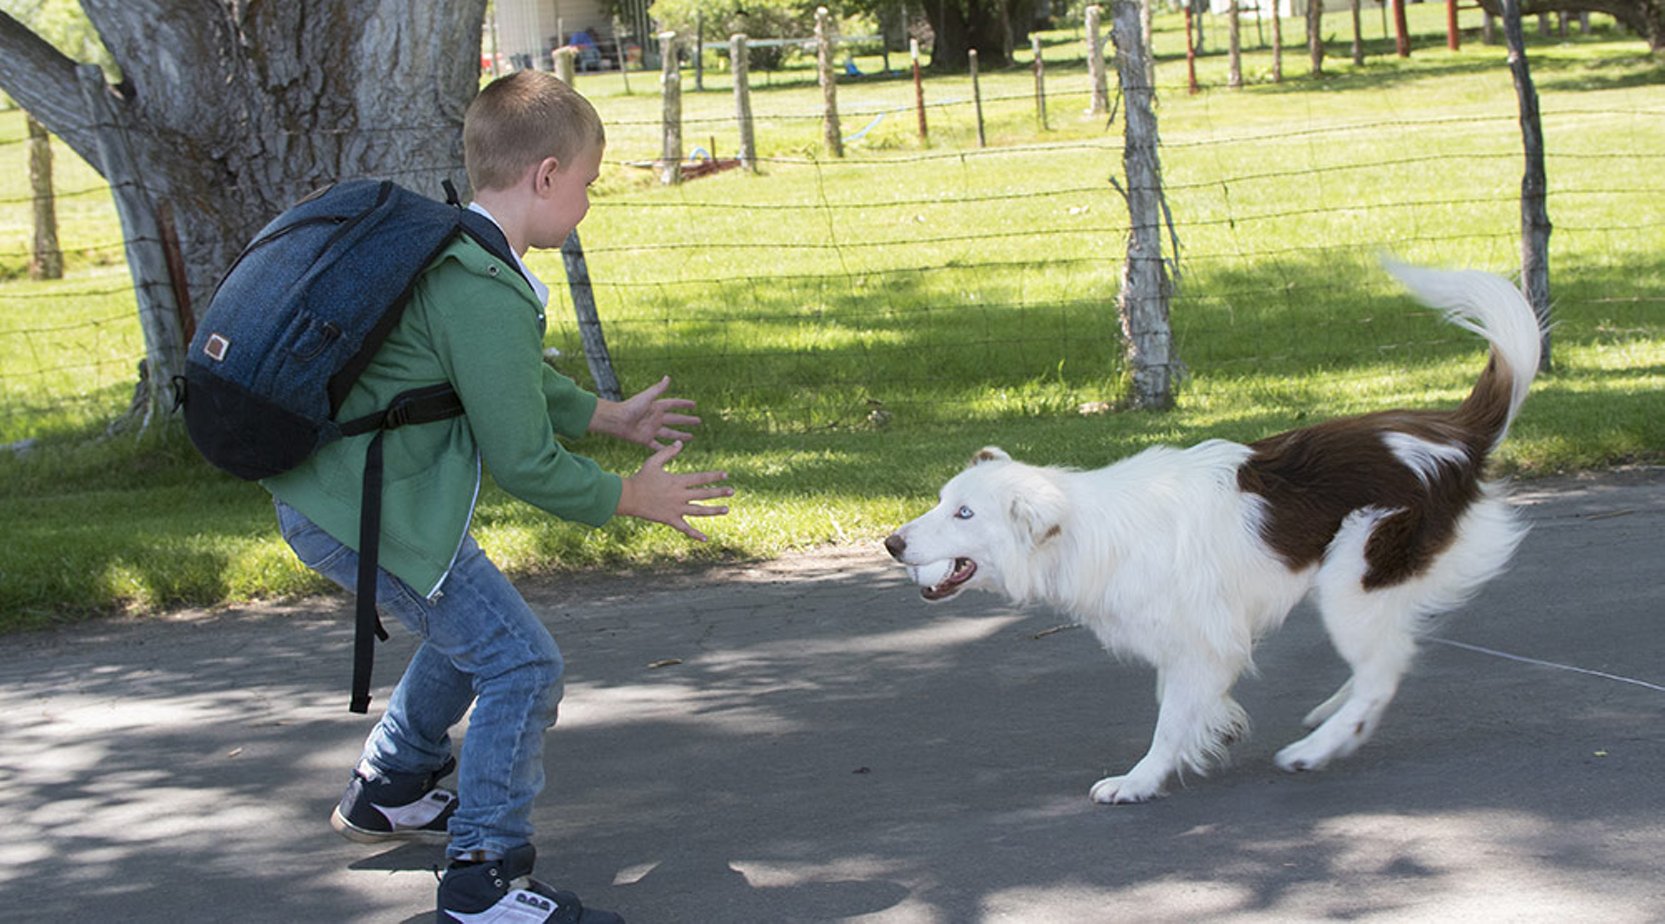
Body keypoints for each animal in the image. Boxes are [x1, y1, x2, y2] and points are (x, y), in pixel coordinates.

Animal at [885, 259, 1545, 802]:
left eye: (965, 514)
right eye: (942, 502)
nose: (891, 543)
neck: (1086, 528)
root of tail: (1456, 434)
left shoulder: (1198, 640)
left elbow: (1171, 718)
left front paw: (1140, 780)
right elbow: (1187, 705)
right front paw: (1215, 728)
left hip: (1354, 576)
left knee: (1382, 675)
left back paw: (1317, 748)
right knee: (1388, 658)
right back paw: (1328, 714)